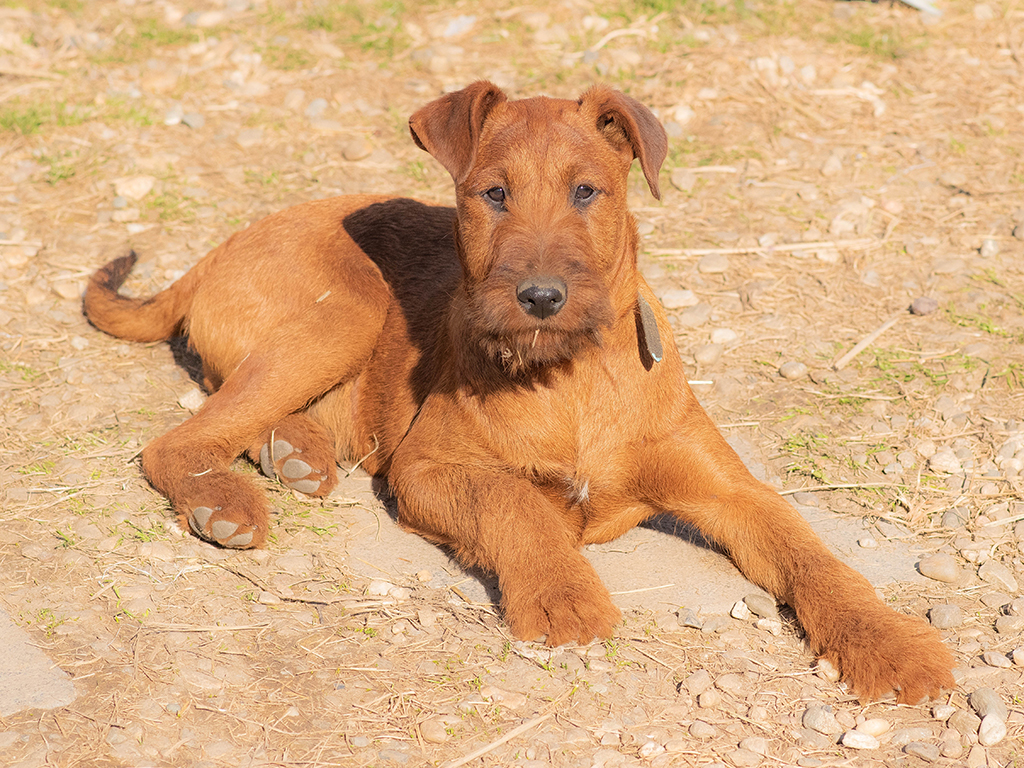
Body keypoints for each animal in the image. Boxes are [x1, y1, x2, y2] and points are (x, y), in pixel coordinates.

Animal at [83, 82, 954, 704]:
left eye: (587, 192)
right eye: (493, 194)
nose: (539, 297)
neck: (572, 377)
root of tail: (218, 248)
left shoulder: (734, 491)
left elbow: (816, 559)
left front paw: (892, 645)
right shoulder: (427, 468)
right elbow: (515, 506)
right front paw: (564, 596)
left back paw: (292, 453)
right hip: (346, 314)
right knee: (177, 440)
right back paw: (223, 499)